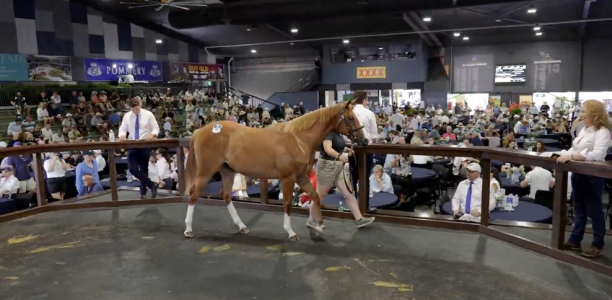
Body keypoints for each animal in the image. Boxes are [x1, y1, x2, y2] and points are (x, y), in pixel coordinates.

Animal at [183, 102, 368, 240]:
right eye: (351, 118)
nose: (364, 140)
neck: (298, 139)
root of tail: (199, 131)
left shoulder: (301, 177)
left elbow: (315, 197)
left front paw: (318, 225)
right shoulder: (288, 178)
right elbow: (287, 203)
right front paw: (291, 232)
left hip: (227, 171)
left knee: (226, 195)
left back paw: (242, 226)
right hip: (206, 171)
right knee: (194, 194)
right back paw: (188, 229)